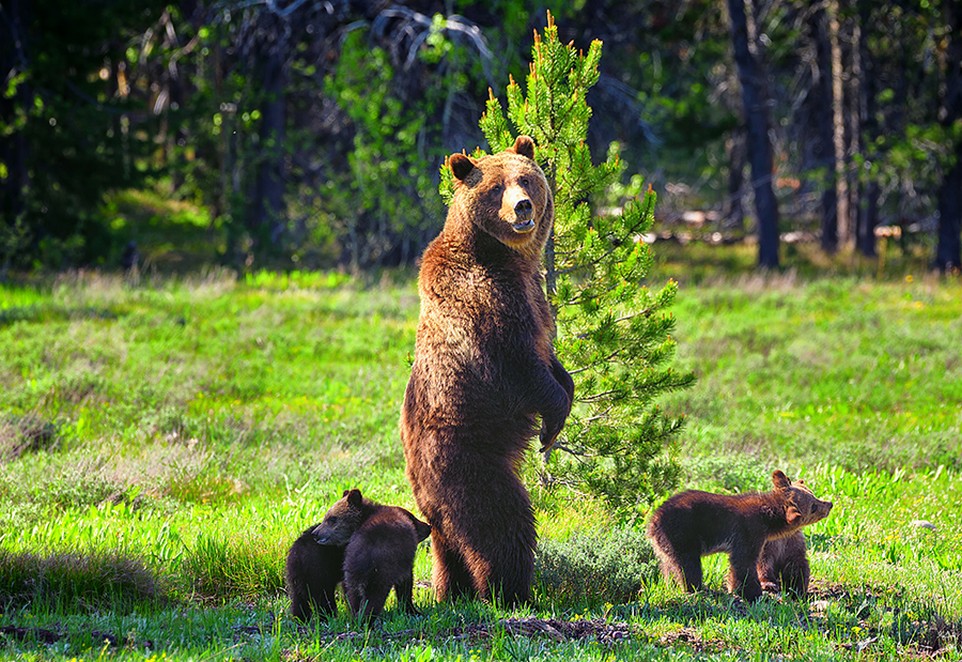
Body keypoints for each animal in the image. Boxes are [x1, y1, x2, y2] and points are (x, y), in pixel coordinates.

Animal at [398, 136, 568, 608]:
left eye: (526, 178)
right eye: (495, 188)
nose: (523, 207)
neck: (506, 258)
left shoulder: (534, 295)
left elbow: (548, 355)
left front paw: (566, 389)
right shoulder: (485, 301)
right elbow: (521, 366)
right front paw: (551, 424)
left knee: (449, 543)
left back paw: (451, 591)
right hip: (464, 456)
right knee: (500, 523)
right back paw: (510, 592)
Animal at [644, 470, 832, 604]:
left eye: (811, 492)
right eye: (813, 507)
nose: (829, 504)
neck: (768, 519)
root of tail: (652, 521)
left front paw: (737, 589)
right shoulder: (749, 531)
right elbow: (745, 562)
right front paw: (755, 593)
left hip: (665, 545)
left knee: (669, 566)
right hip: (682, 535)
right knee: (688, 566)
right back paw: (698, 589)